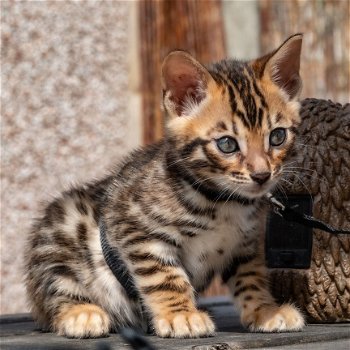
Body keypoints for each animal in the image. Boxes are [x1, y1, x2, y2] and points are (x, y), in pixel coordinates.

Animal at [25, 34, 304, 338]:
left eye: (277, 137)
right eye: (227, 144)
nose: (262, 175)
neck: (223, 201)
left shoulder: (245, 245)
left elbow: (251, 277)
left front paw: (265, 310)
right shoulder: (137, 230)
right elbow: (165, 276)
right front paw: (180, 315)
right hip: (63, 227)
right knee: (56, 288)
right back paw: (80, 313)